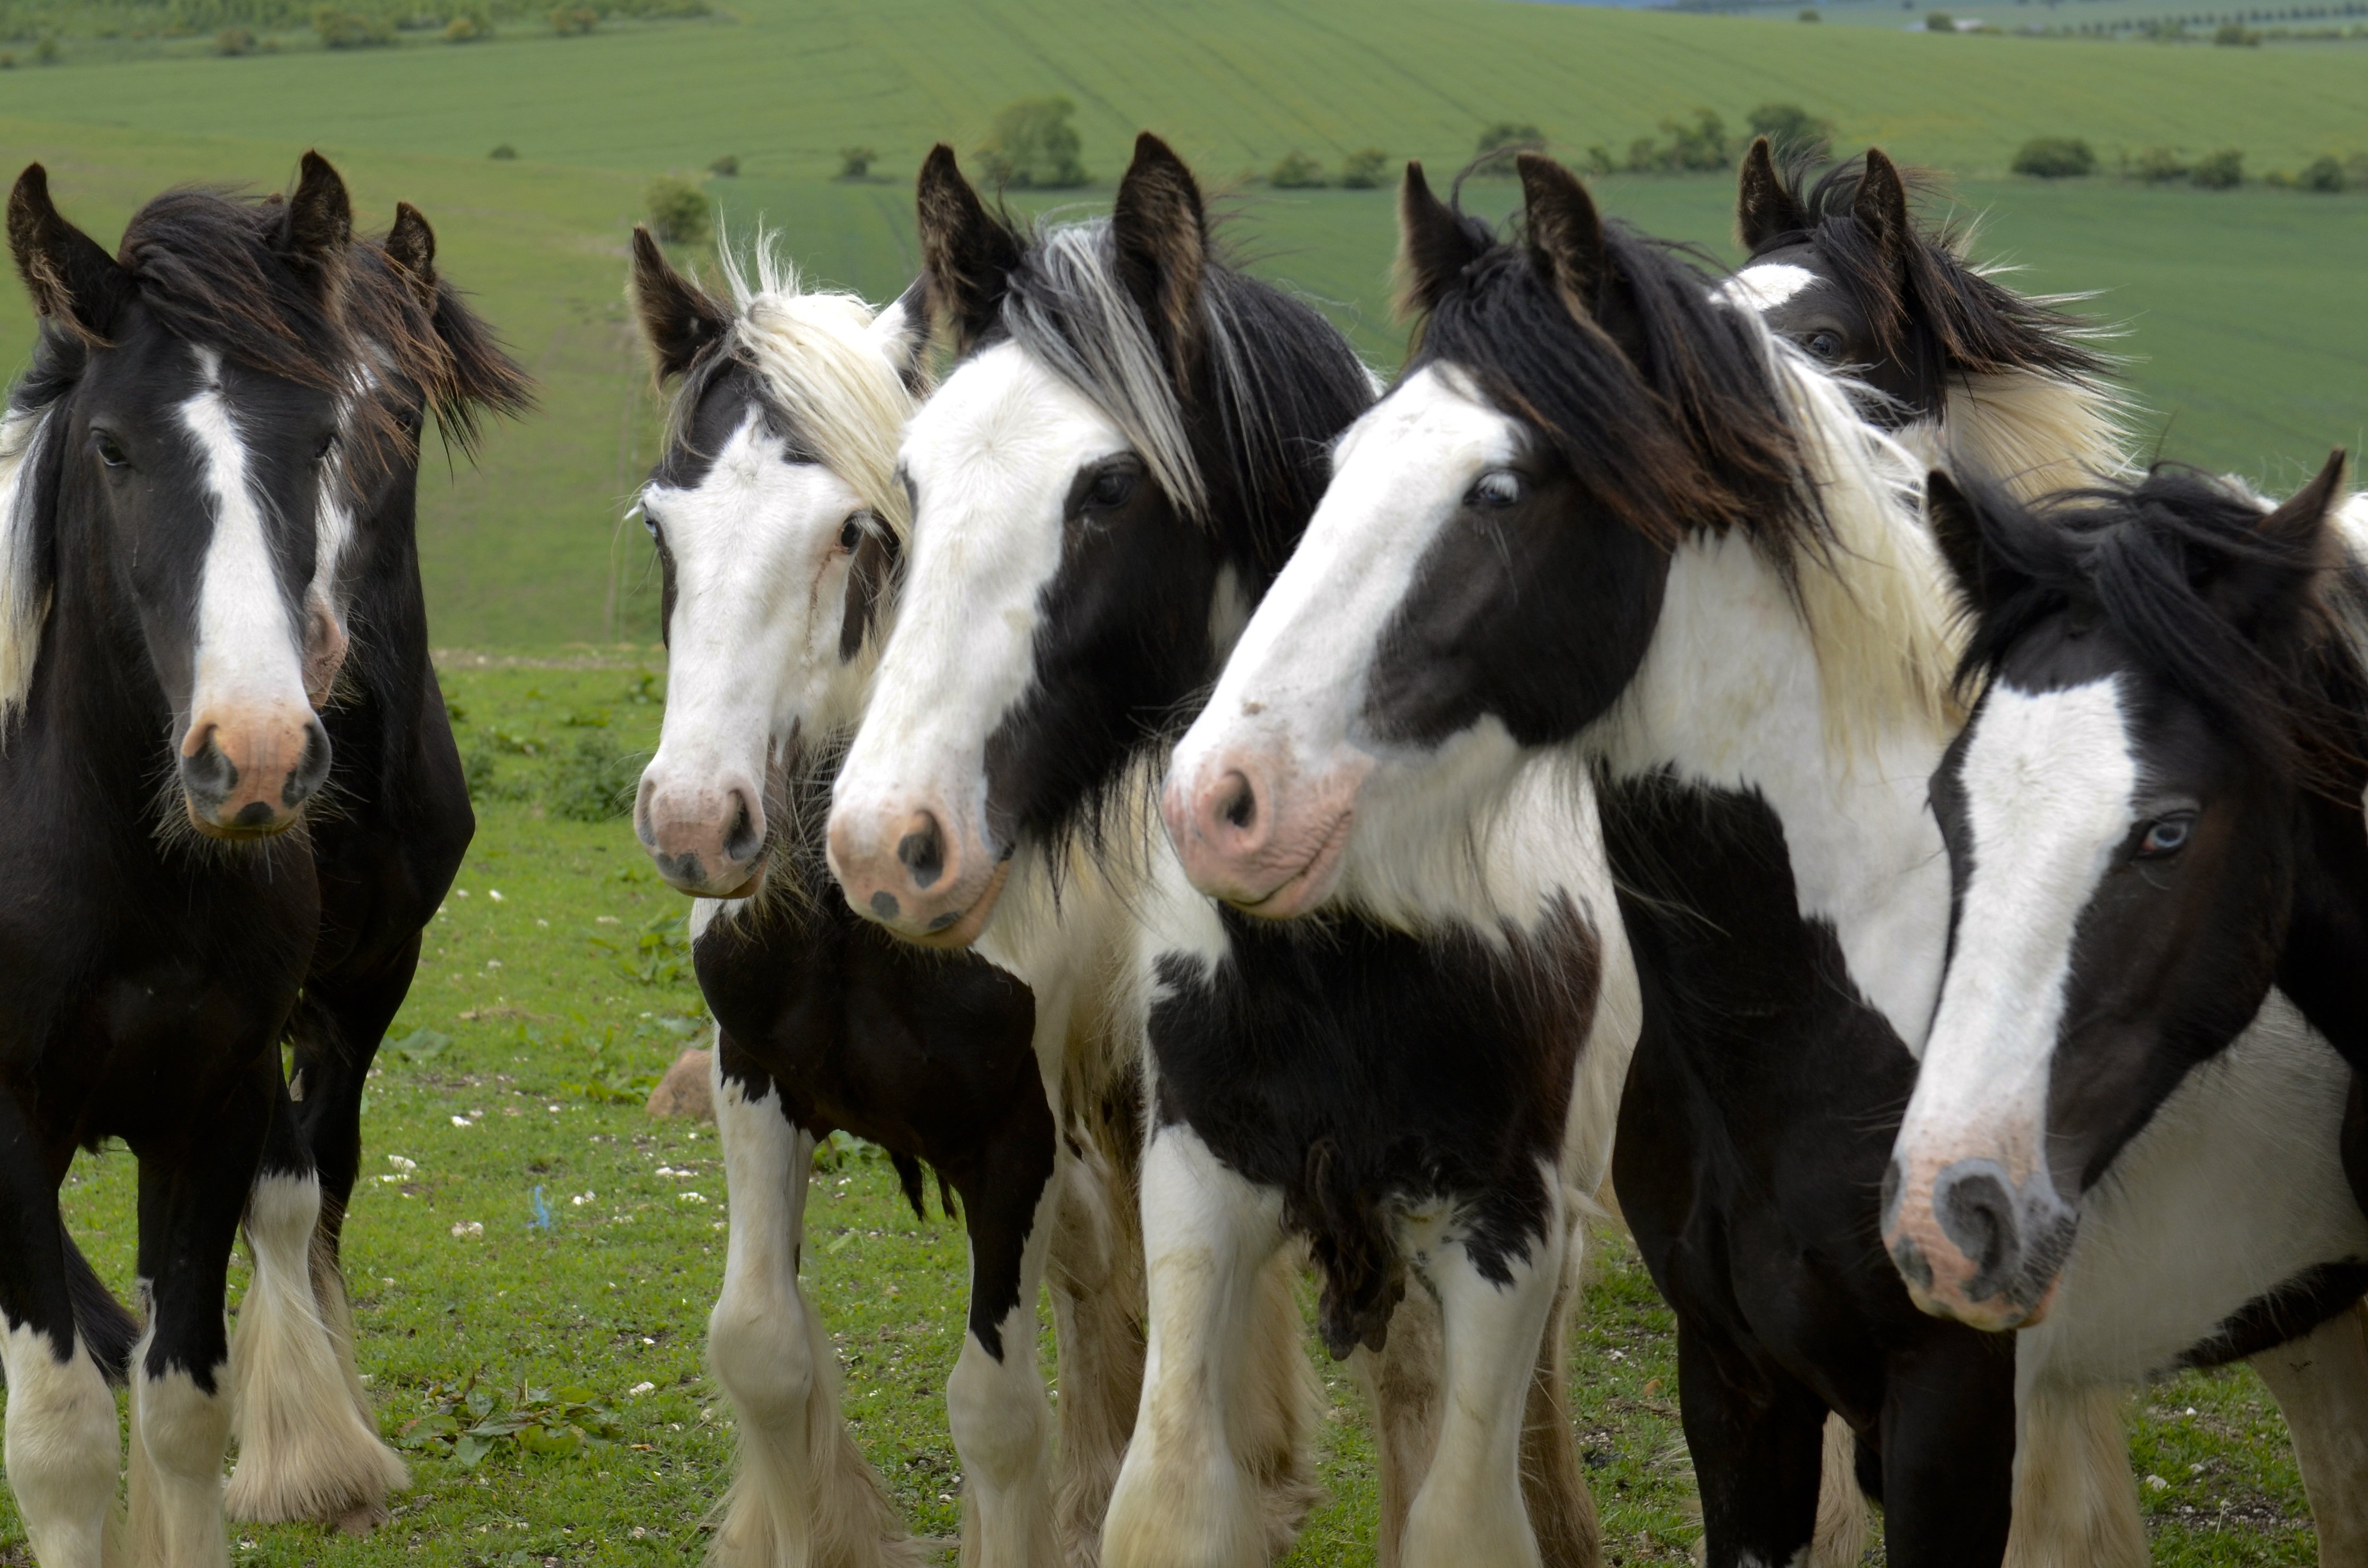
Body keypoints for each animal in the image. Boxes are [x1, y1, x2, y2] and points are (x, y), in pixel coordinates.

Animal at [0, 156, 360, 1567]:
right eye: (112, 447)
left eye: (322, 439)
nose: (253, 758)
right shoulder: (6, 1125)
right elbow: (59, 1440)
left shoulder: (207, 1111)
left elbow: (183, 1409)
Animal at [625, 227, 1148, 1567]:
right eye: (660, 526)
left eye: (857, 530)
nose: (694, 822)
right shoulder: (752, 1082)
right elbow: (760, 1348)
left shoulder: (1011, 1138)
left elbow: (996, 1414)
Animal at [825, 134, 1634, 1568]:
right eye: (911, 481)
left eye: (1105, 489)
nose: (884, 842)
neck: (1364, 938)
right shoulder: (1197, 1185)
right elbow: (1162, 1492)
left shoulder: (1504, 1233)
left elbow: (1462, 1510)